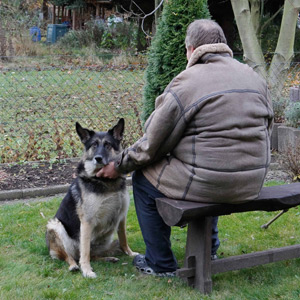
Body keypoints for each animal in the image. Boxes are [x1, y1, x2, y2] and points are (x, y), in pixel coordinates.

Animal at [45, 118, 136, 278]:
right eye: (94, 145)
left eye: (107, 144)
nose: (98, 158)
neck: (106, 181)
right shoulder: (87, 222)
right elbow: (85, 251)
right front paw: (87, 271)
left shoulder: (122, 217)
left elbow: (123, 239)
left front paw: (130, 253)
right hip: (55, 225)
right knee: (70, 256)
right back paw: (74, 266)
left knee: (91, 254)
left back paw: (108, 258)